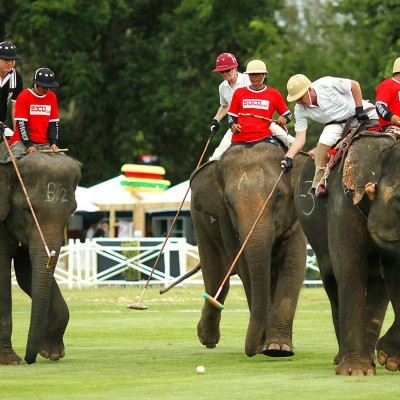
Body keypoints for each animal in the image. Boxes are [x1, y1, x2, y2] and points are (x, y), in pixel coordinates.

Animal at [0, 142, 80, 364]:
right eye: (28, 209)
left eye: (72, 212)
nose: (30, 359)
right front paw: (11, 360)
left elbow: (27, 276)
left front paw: (51, 353)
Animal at [189, 140, 308, 356]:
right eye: (228, 203)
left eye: (279, 196)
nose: (251, 350)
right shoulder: (226, 221)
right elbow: (246, 271)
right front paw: (265, 347)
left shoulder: (295, 218)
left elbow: (294, 264)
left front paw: (279, 348)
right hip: (199, 221)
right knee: (216, 276)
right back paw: (208, 339)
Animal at [294, 129, 400, 376]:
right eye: (399, 199)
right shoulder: (342, 200)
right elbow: (350, 268)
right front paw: (355, 371)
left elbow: (393, 274)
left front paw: (389, 359)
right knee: (332, 277)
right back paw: (344, 359)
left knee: (378, 283)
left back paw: (372, 358)